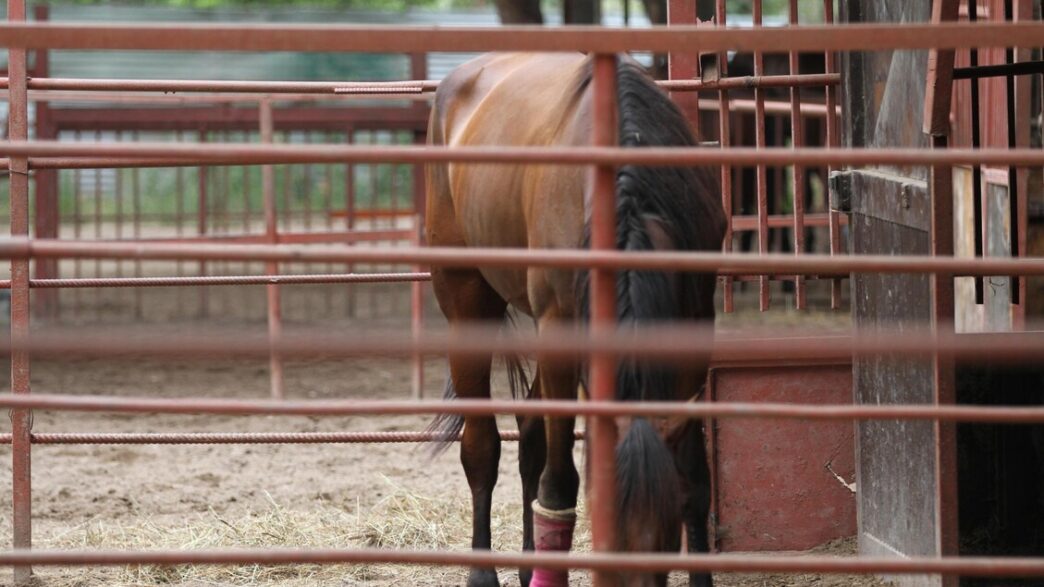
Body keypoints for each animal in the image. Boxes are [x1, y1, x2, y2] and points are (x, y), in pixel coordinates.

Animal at [423, 52, 726, 580]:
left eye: (665, 542)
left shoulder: (691, 326)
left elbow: (693, 481)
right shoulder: (559, 324)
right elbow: (560, 481)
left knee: (529, 431)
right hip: (466, 299)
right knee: (482, 447)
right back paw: (485, 571)